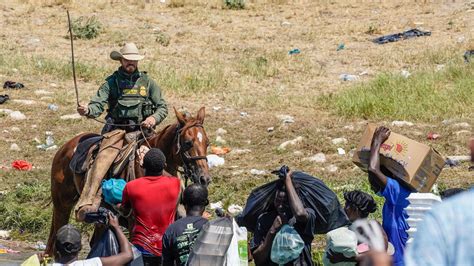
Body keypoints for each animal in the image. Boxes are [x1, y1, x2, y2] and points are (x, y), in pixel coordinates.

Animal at [45, 107, 210, 256]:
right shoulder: (134, 222)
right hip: (62, 205)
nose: (204, 178)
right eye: (188, 143)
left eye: (207, 143)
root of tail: (66, 147)